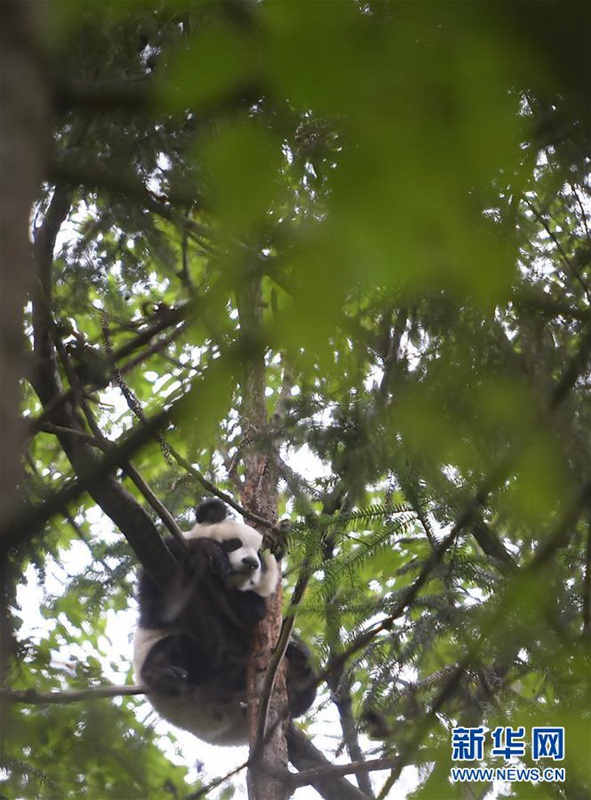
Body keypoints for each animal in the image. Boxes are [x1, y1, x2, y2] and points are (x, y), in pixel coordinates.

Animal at [133, 498, 316, 745]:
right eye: (233, 544)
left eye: (260, 556)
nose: (250, 562)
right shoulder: (164, 561)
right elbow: (159, 603)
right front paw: (212, 554)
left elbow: (252, 613)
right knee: (176, 645)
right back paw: (164, 674)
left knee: (305, 690)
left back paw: (298, 662)